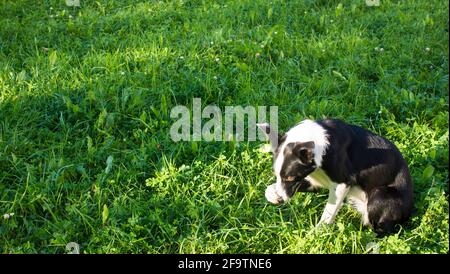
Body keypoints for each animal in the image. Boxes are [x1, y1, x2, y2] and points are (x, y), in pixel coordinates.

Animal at [258, 118, 414, 235]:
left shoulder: (343, 183)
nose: (281, 199)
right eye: (276, 175)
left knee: (383, 230)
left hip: (380, 193)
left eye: (290, 178)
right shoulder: (314, 182)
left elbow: (328, 212)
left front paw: (318, 233)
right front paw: (272, 193)